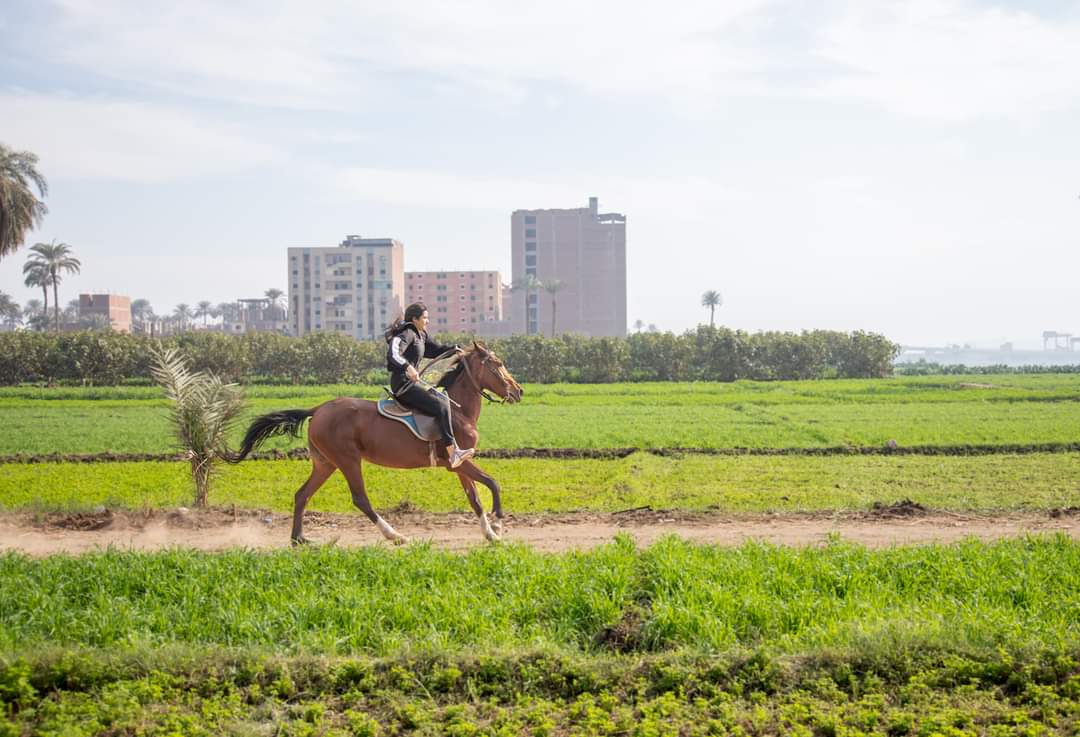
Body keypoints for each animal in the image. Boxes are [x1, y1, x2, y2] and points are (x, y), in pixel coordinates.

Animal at [224, 341, 522, 542]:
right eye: (497, 364)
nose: (518, 390)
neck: (459, 412)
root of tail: (318, 409)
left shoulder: (461, 464)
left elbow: (475, 498)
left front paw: (490, 534)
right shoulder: (457, 462)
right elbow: (492, 484)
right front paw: (499, 524)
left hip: (325, 463)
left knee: (302, 494)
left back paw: (299, 539)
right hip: (348, 460)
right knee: (360, 499)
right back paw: (395, 535)